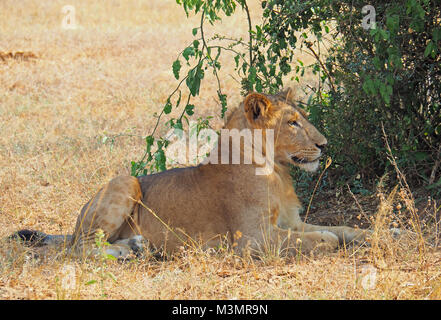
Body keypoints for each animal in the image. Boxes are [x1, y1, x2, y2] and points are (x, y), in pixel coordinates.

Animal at [12, 89, 368, 258]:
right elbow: (324, 239)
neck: (277, 170)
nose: (324, 144)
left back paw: (137, 247)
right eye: (293, 123)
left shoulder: (290, 223)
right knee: (80, 248)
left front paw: (380, 234)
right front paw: (331, 242)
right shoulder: (253, 239)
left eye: (301, 119)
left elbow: (342, 229)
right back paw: (126, 251)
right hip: (125, 181)